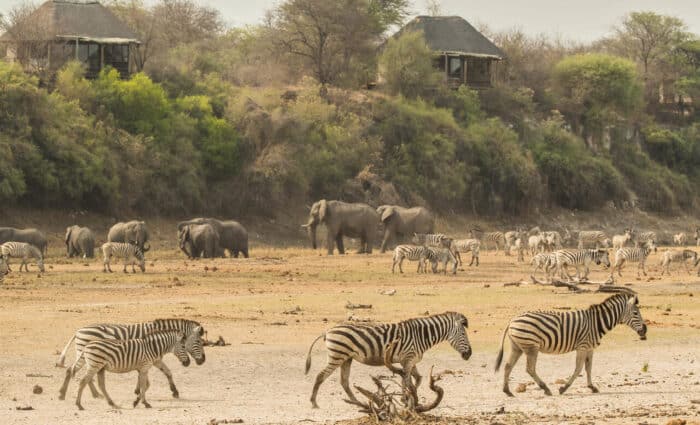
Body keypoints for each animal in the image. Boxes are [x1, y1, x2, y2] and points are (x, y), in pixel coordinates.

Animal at [57, 318, 205, 400]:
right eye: (198, 341)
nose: (202, 361)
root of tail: (78, 330)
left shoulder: (152, 358)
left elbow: (166, 372)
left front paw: (173, 391)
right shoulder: (149, 356)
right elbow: (156, 373)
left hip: (86, 355)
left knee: (74, 370)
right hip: (87, 354)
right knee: (77, 371)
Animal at [304, 312, 474, 408]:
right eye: (463, 335)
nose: (469, 354)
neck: (421, 335)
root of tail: (328, 331)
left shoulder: (409, 361)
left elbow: (416, 379)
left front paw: (411, 399)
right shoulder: (408, 359)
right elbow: (407, 381)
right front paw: (407, 399)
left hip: (346, 358)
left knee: (344, 381)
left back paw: (357, 402)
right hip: (337, 355)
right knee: (320, 376)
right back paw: (313, 402)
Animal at [494, 290, 648, 396]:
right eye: (635, 313)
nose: (645, 330)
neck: (597, 323)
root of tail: (512, 320)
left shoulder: (590, 348)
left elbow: (588, 368)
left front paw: (592, 387)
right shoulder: (583, 346)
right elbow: (578, 369)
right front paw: (563, 388)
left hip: (517, 347)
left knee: (508, 366)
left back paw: (507, 391)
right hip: (531, 347)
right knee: (530, 369)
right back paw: (546, 389)